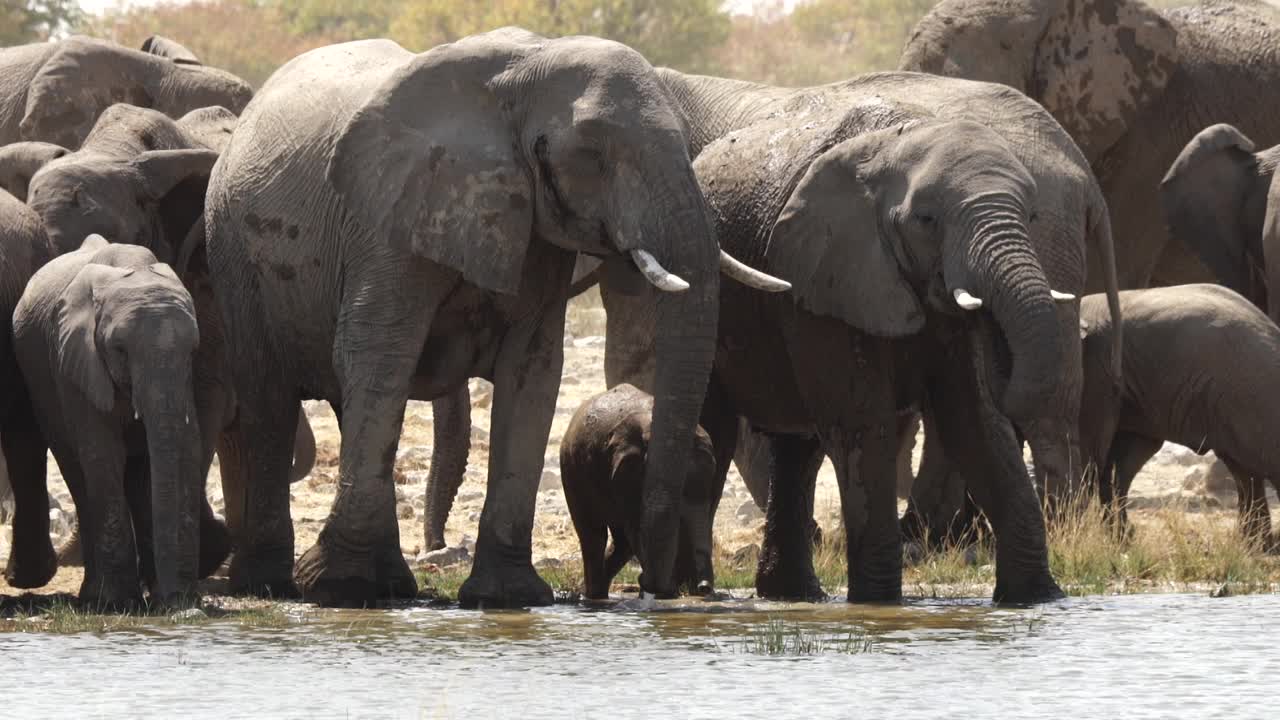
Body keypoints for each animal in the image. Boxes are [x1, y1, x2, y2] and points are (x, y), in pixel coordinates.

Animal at [12, 233, 229, 602]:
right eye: (120, 350)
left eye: (192, 350)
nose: (179, 602)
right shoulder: (74, 362)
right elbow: (102, 453)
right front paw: (120, 601)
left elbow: (178, 449)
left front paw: (171, 597)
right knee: (77, 471)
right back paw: (97, 596)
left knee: (137, 476)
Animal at [563, 384, 721, 597]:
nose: (704, 589)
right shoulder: (627, 475)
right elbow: (637, 525)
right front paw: (666, 591)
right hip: (573, 473)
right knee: (593, 535)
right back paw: (593, 596)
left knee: (621, 543)